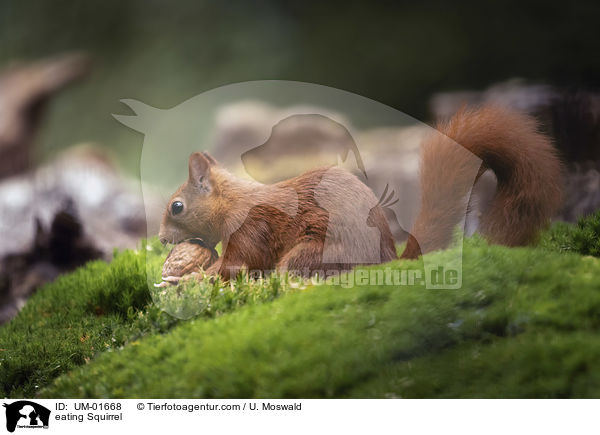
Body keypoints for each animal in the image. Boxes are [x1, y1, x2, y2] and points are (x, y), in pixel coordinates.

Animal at [158, 107, 564, 282]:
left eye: (177, 206)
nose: (160, 239)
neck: (234, 202)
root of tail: (389, 259)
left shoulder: (251, 229)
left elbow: (236, 266)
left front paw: (188, 279)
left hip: (315, 250)